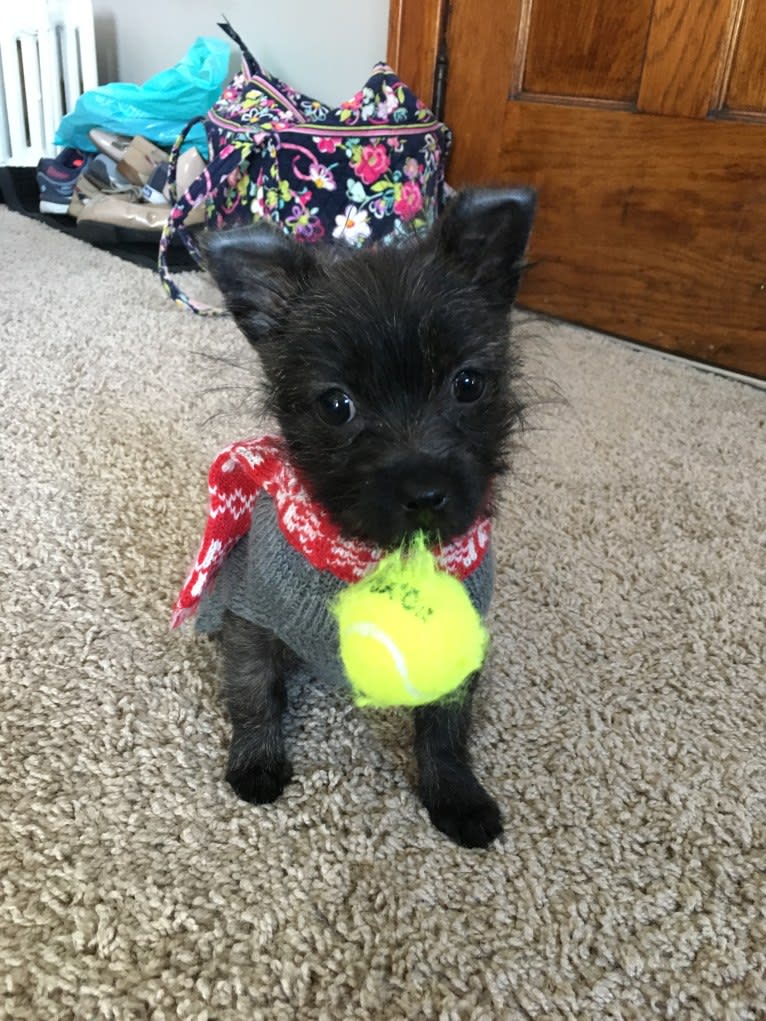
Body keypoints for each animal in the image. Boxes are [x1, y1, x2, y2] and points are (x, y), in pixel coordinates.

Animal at [204, 187, 539, 849]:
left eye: (468, 384)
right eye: (337, 406)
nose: (425, 491)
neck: (379, 555)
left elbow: (445, 728)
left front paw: (456, 795)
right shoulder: (251, 619)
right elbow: (254, 691)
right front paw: (255, 761)